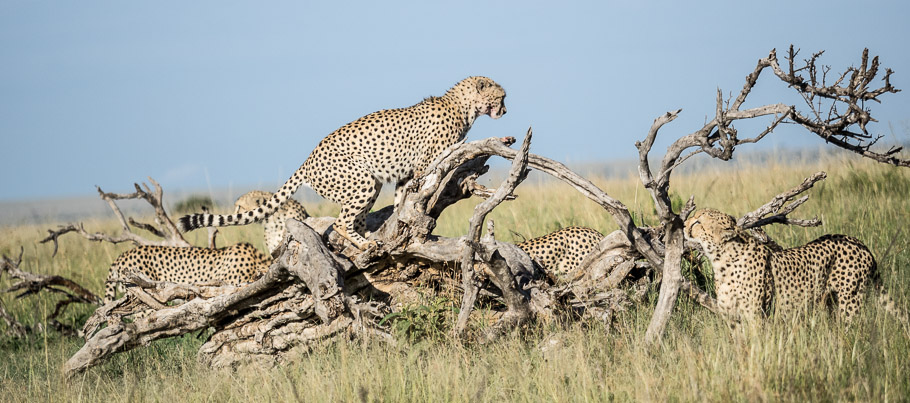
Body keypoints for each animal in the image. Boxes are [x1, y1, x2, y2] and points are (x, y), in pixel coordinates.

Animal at [178, 76, 507, 250]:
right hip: (360, 181)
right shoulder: (425, 163)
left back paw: (367, 238)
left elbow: (403, 198)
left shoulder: (406, 174)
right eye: (501, 96)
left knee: (356, 218)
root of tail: (308, 157)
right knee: (340, 221)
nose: (505, 110)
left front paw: (400, 222)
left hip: (367, 183)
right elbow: (429, 181)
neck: (463, 106)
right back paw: (362, 243)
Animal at [684, 208, 907, 324]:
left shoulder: (757, 316)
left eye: (698, 223)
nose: (684, 225)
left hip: (850, 303)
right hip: (830, 302)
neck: (722, 260)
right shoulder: (732, 317)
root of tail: (858, 242)